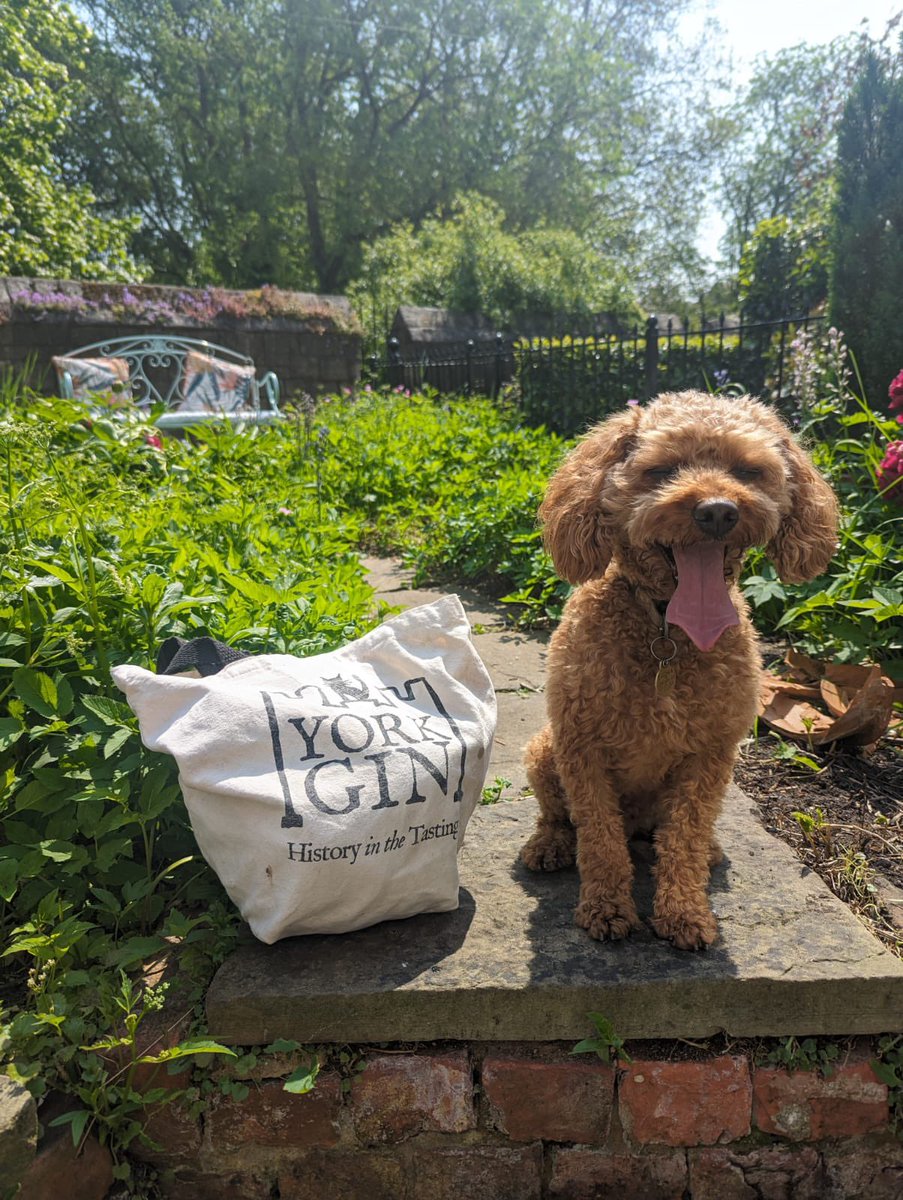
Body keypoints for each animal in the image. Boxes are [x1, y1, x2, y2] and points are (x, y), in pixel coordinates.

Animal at [521, 391, 840, 945]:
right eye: (661, 470)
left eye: (748, 470)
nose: (717, 511)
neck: (667, 631)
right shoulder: (582, 748)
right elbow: (599, 838)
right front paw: (606, 907)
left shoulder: (709, 754)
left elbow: (686, 833)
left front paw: (685, 911)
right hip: (544, 749)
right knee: (559, 816)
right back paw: (550, 845)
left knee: (676, 832)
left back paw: (707, 851)